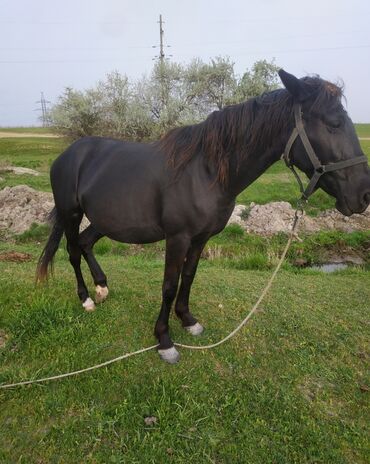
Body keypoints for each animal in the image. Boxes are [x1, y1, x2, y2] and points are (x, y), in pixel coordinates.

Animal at [36, 70, 370, 364]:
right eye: (334, 123)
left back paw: (102, 287)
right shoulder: (178, 238)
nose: (364, 195)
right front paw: (164, 340)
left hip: (105, 220)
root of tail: (69, 154)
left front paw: (187, 319)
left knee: (85, 243)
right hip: (71, 214)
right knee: (72, 251)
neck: (205, 171)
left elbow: (189, 276)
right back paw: (86, 299)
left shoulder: (201, 238)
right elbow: (169, 286)